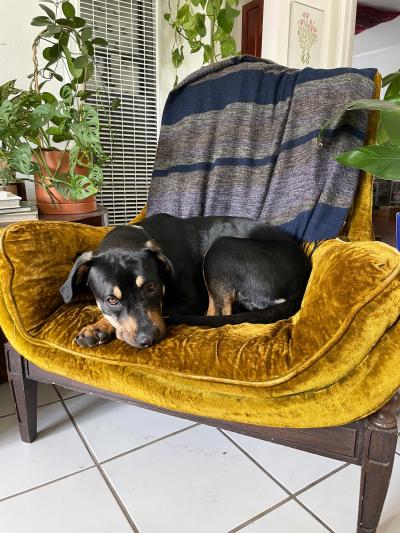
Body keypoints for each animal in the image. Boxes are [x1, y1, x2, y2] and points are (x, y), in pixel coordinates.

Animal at [59, 213, 310, 350]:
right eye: (111, 300)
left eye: (152, 287)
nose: (148, 340)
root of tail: (304, 277)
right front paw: (96, 327)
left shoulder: (189, 302)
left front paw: (101, 325)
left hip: (221, 248)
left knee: (217, 313)